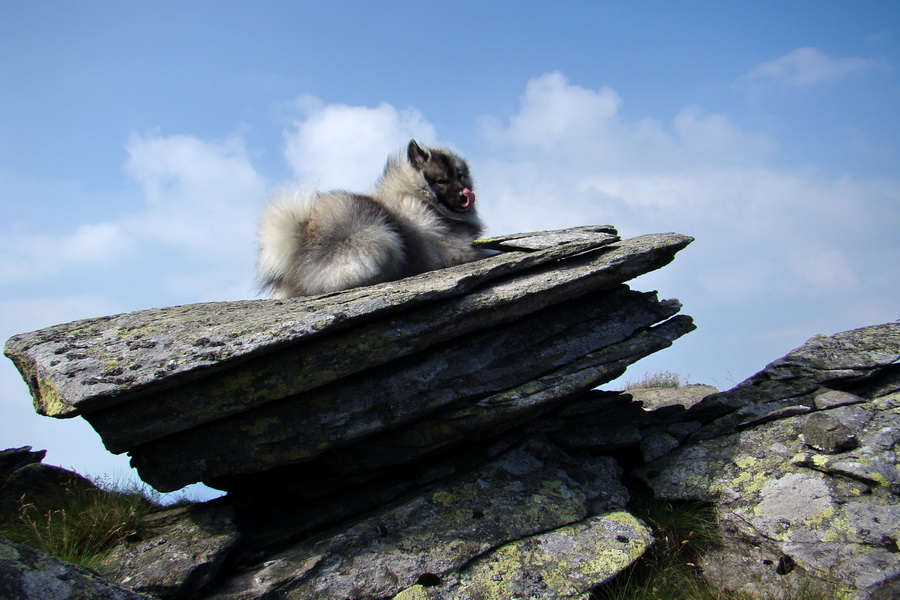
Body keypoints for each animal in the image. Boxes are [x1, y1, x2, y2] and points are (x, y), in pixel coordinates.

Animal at [258, 141, 486, 300]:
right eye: (441, 181)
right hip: (381, 238)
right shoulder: (456, 250)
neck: (418, 196)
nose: (465, 194)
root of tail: (302, 237)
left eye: (460, 175)